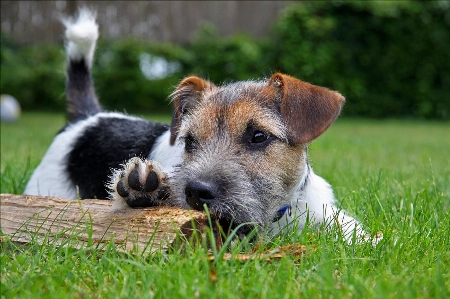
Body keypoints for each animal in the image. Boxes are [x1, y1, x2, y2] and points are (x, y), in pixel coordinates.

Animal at [24, 8, 368, 244]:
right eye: (189, 142)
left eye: (258, 136)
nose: (196, 191)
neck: (275, 218)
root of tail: (86, 118)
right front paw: (142, 190)